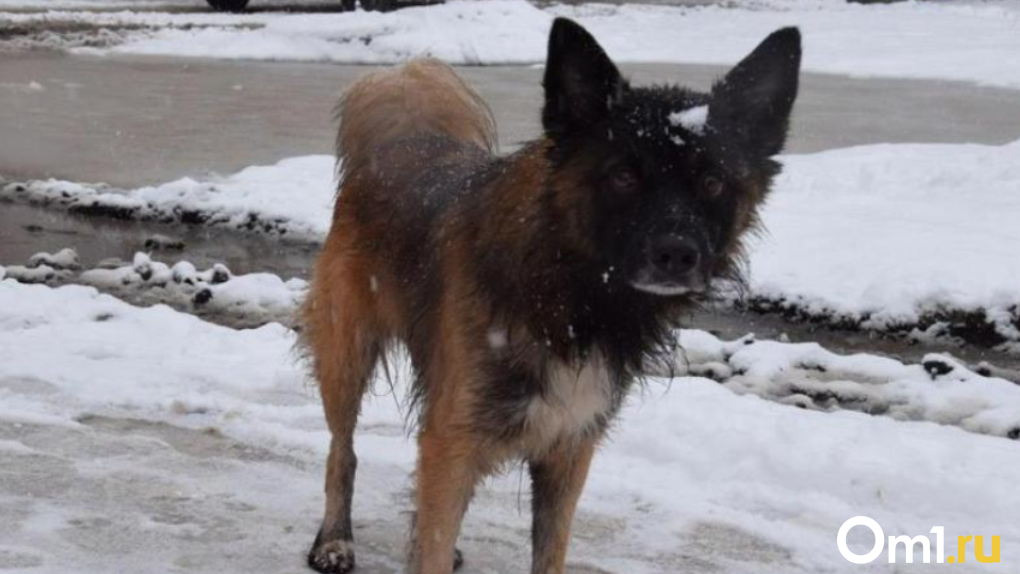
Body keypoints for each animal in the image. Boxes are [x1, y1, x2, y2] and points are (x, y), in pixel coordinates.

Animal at [301, 16, 803, 574]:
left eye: (713, 182)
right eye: (623, 176)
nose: (676, 254)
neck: (575, 294)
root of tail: (400, 145)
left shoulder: (568, 449)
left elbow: (547, 549)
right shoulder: (455, 438)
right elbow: (430, 525)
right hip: (347, 356)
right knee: (343, 449)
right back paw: (334, 540)